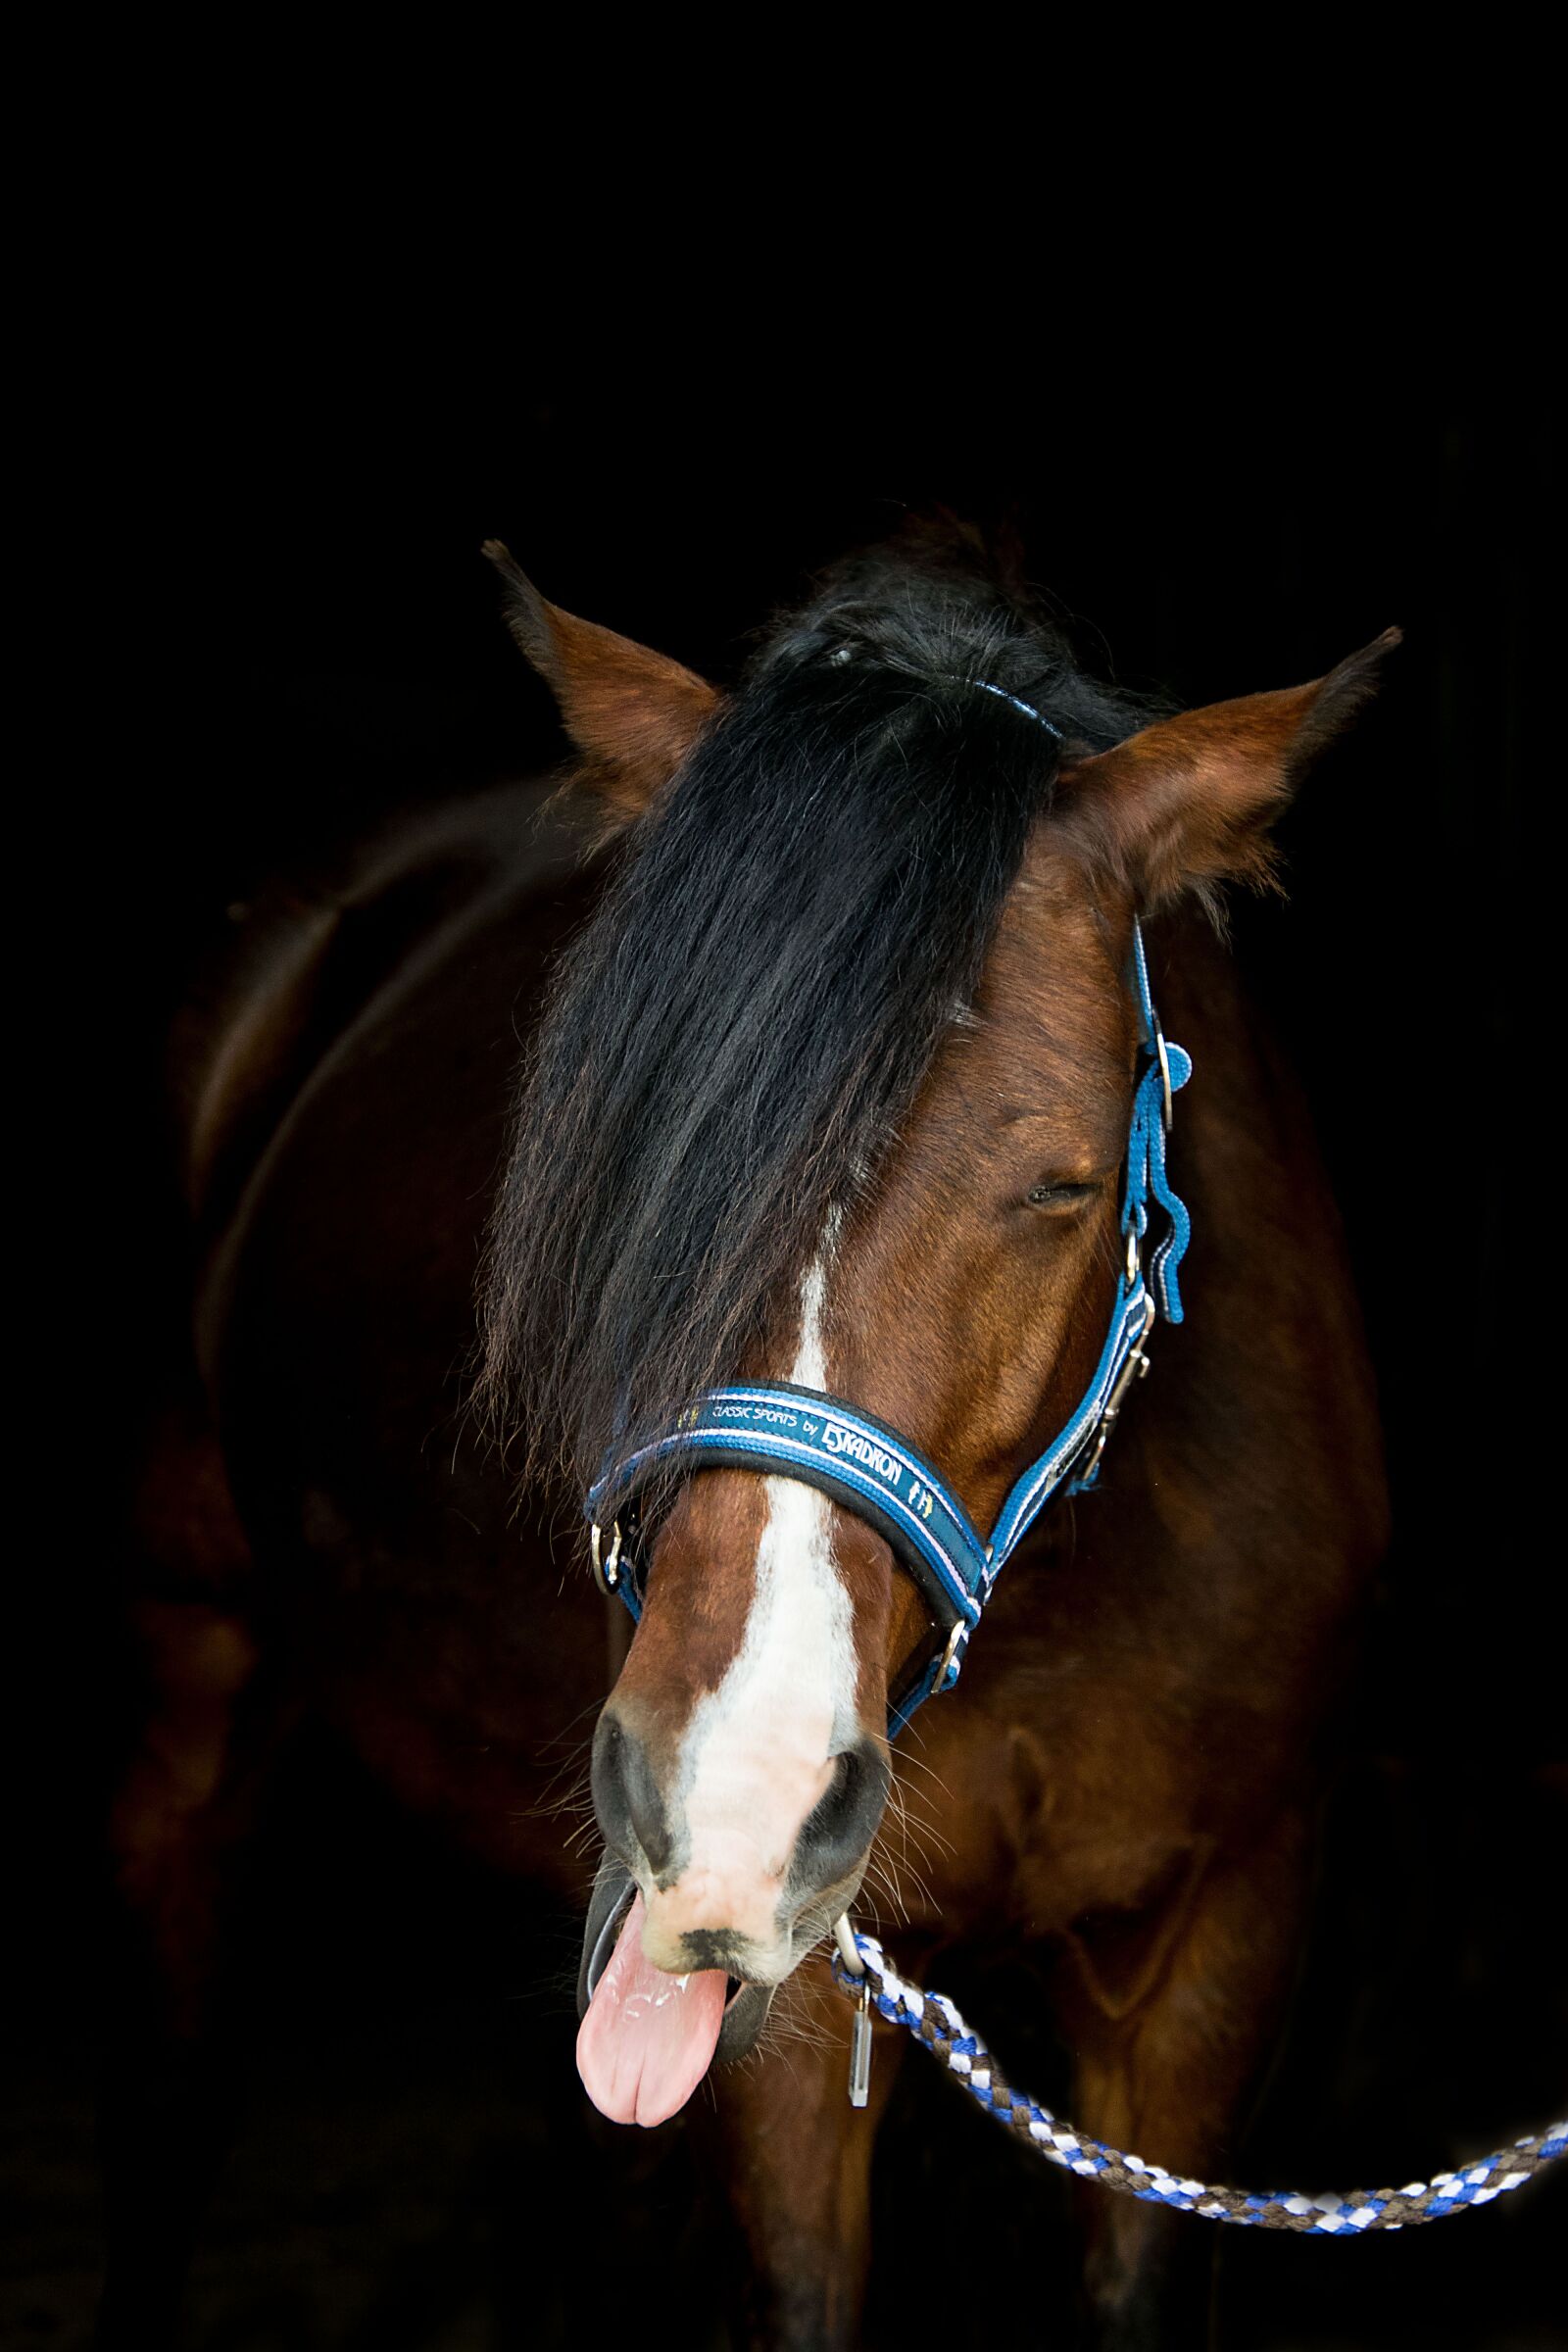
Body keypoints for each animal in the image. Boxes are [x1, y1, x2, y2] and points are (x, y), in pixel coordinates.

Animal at [105, 532, 1394, 2349]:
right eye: (630, 1147)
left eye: (1066, 1182)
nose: (742, 1786)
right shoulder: (775, 2019)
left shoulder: (1218, 1953)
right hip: (194, 1665)